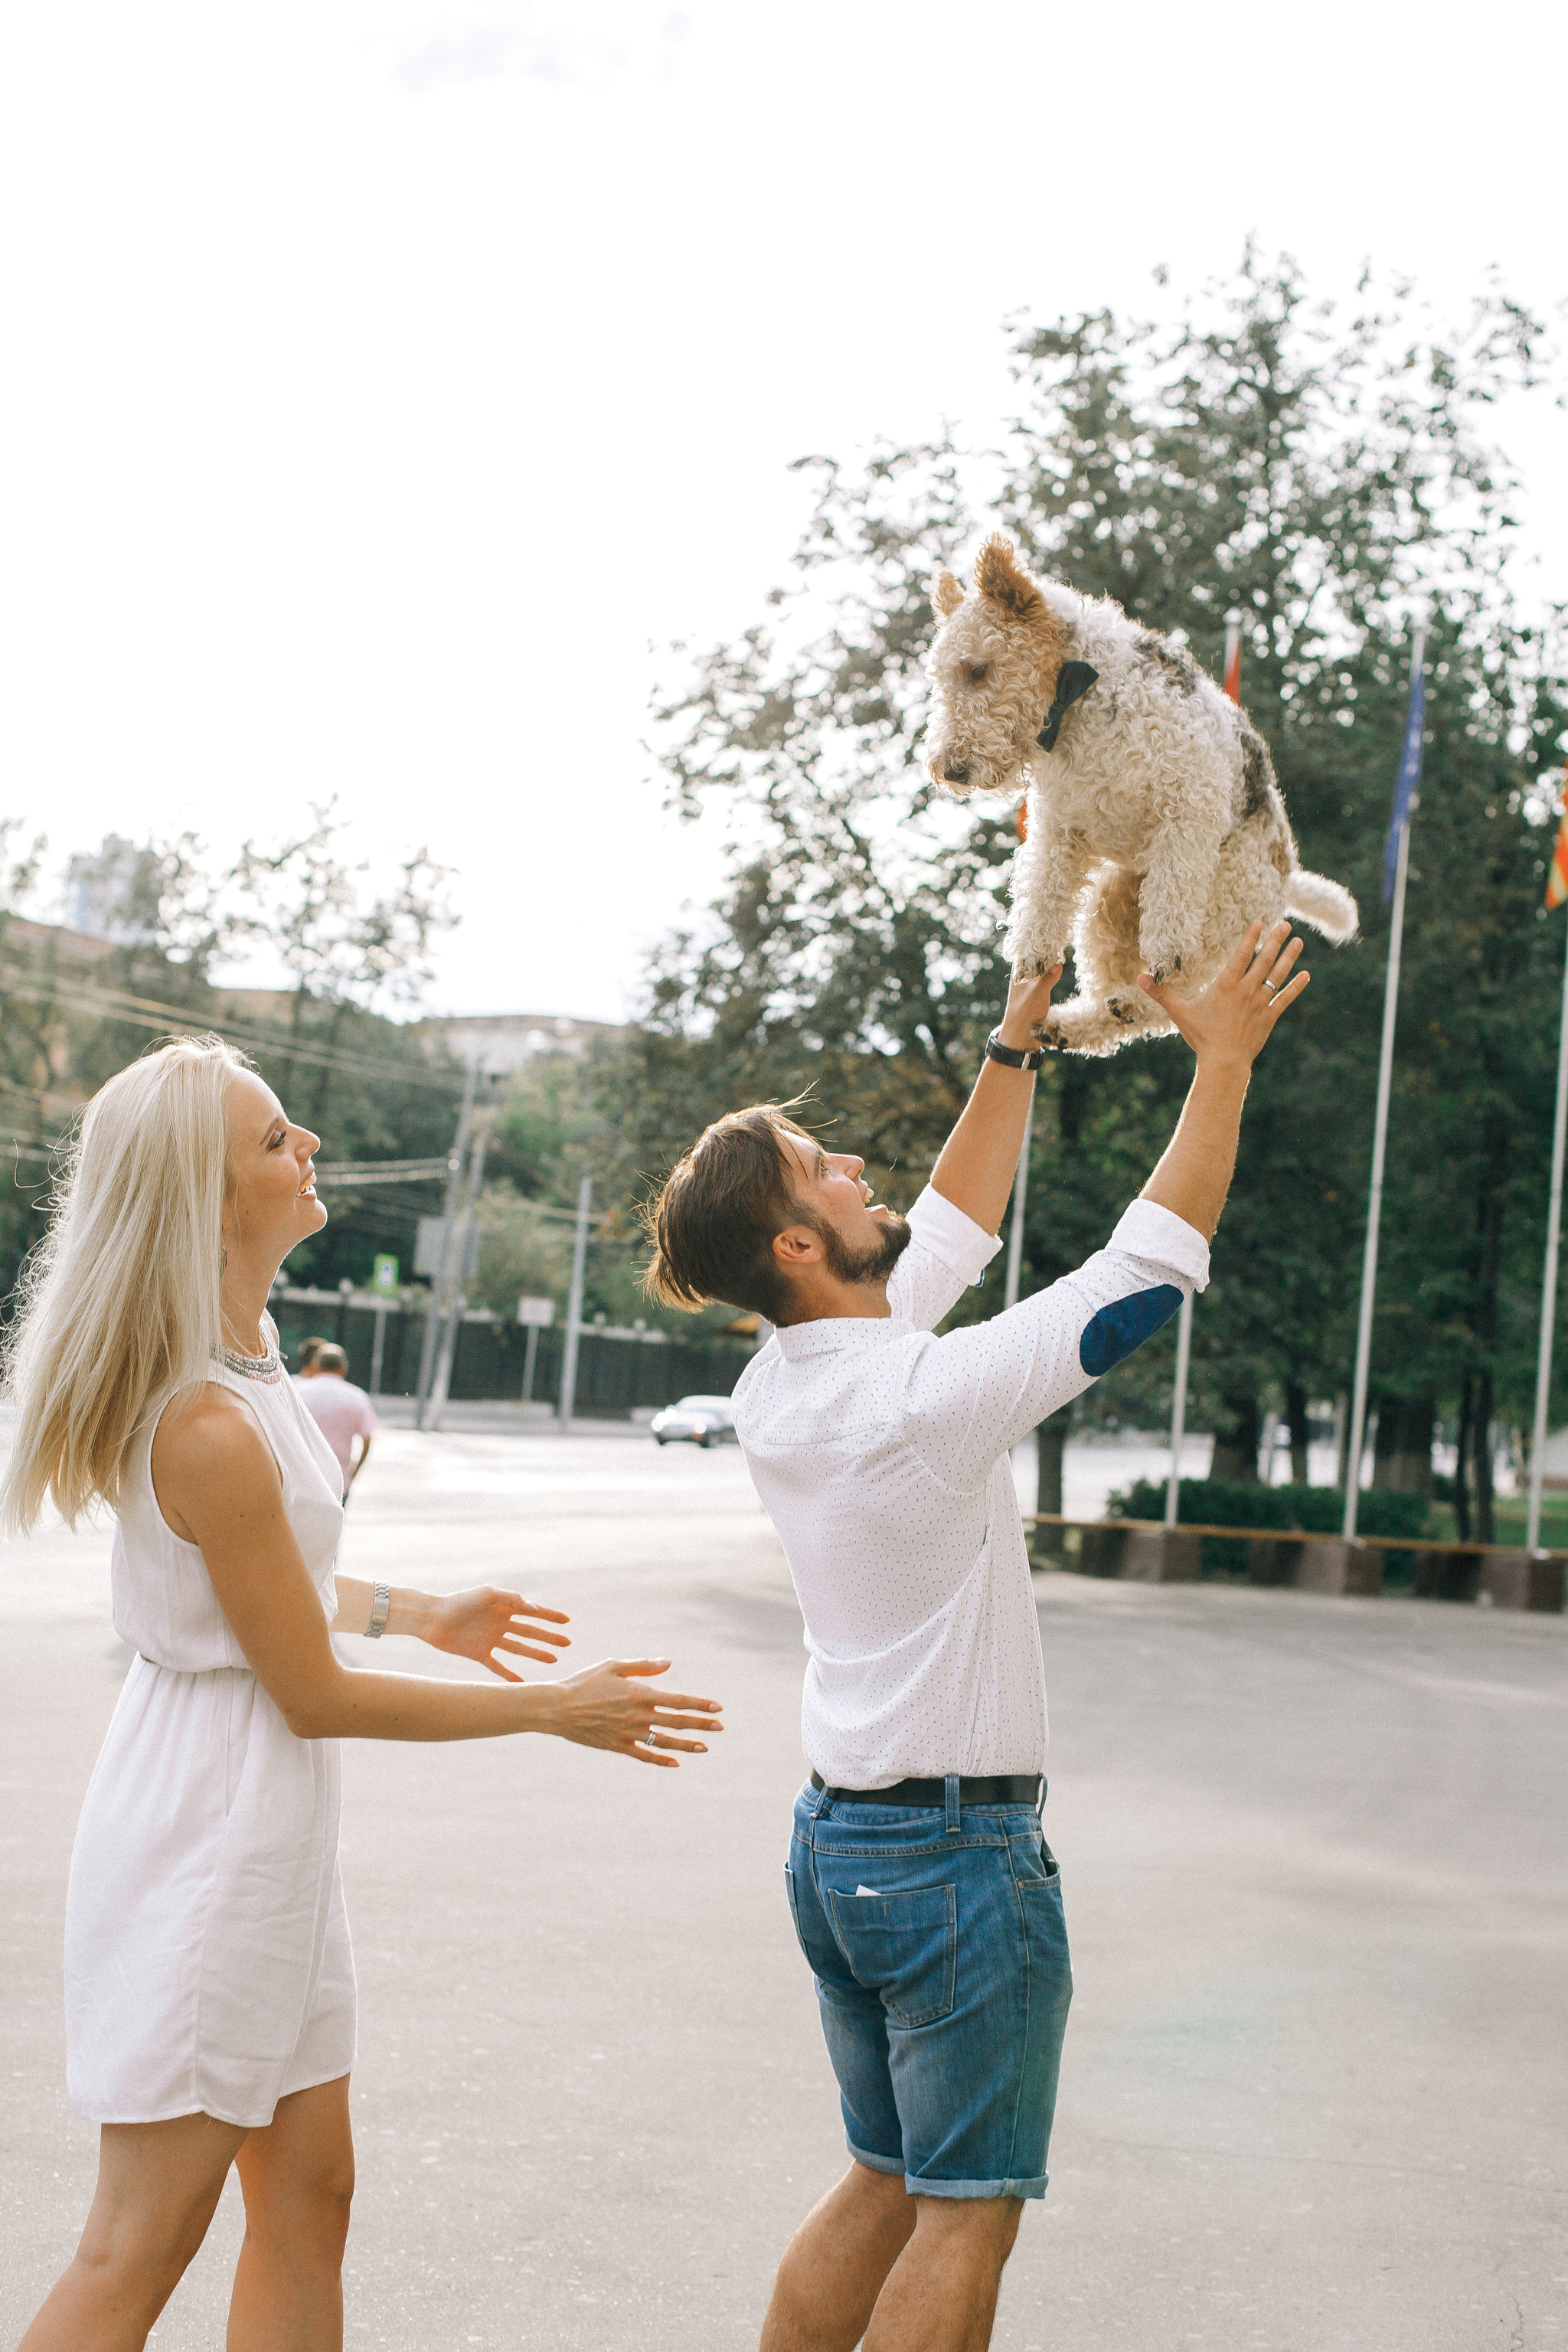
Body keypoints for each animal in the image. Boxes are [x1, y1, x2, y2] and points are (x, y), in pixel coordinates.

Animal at [921, 538, 1363, 1054]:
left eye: (977, 669)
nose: (952, 769)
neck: (1080, 697)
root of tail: (1289, 877)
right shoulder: (1060, 826)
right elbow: (1043, 892)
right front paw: (1032, 954)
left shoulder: (1187, 804)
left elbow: (1172, 901)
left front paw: (1163, 949)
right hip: (1110, 904)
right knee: (1125, 999)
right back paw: (1067, 1022)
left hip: (1223, 916)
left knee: (1177, 999)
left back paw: (1132, 1002)